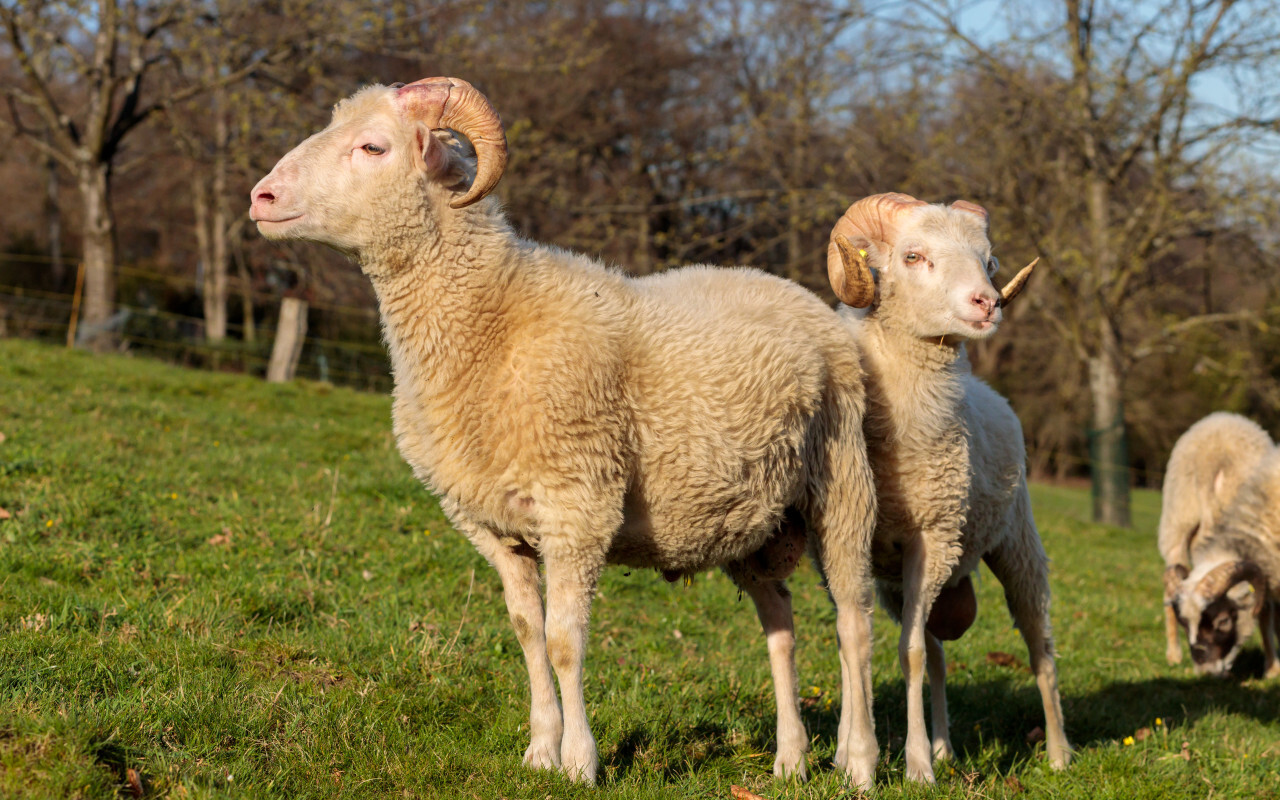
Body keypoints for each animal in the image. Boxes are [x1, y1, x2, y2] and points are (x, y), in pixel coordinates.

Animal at [247, 79, 880, 788]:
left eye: (373, 147)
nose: (261, 198)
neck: (491, 318)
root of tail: (807, 300)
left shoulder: (579, 505)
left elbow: (563, 641)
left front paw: (579, 762)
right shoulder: (492, 523)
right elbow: (526, 632)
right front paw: (539, 751)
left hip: (841, 484)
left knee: (853, 623)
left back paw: (860, 763)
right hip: (752, 521)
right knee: (781, 624)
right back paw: (791, 758)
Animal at [819, 192, 1070, 778]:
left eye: (989, 260)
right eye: (913, 256)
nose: (988, 303)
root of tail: (993, 394)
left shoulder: (930, 538)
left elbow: (906, 653)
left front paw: (915, 769)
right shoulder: (846, 542)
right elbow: (853, 644)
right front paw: (849, 755)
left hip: (1016, 545)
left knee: (1039, 648)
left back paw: (1058, 753)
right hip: (913, 577)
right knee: (937, 655)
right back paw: (943, 746)